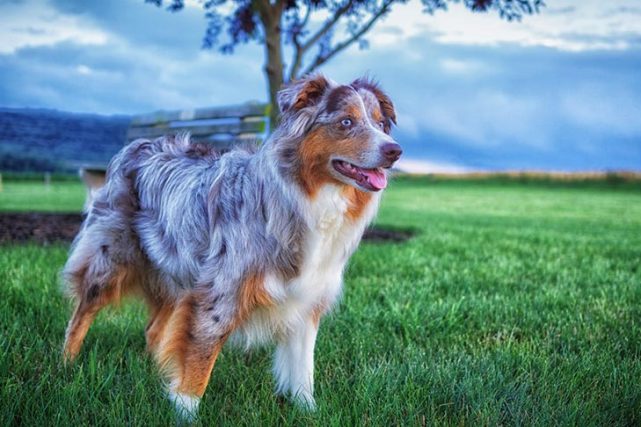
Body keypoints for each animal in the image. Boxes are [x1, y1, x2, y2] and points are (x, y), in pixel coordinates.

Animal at [60, 74, 400, 422]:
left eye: (380, 124)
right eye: (346, 122)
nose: (395, 151)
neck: (307, 197)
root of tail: (137, 144)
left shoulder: (307, 296)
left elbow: (303, 367)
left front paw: (309, 412)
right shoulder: (220, 294)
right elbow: (199, 361)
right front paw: (185, 412)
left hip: (176, 272)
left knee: (154, 330)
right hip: (111, 256)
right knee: (82, 313)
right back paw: (66, 366)